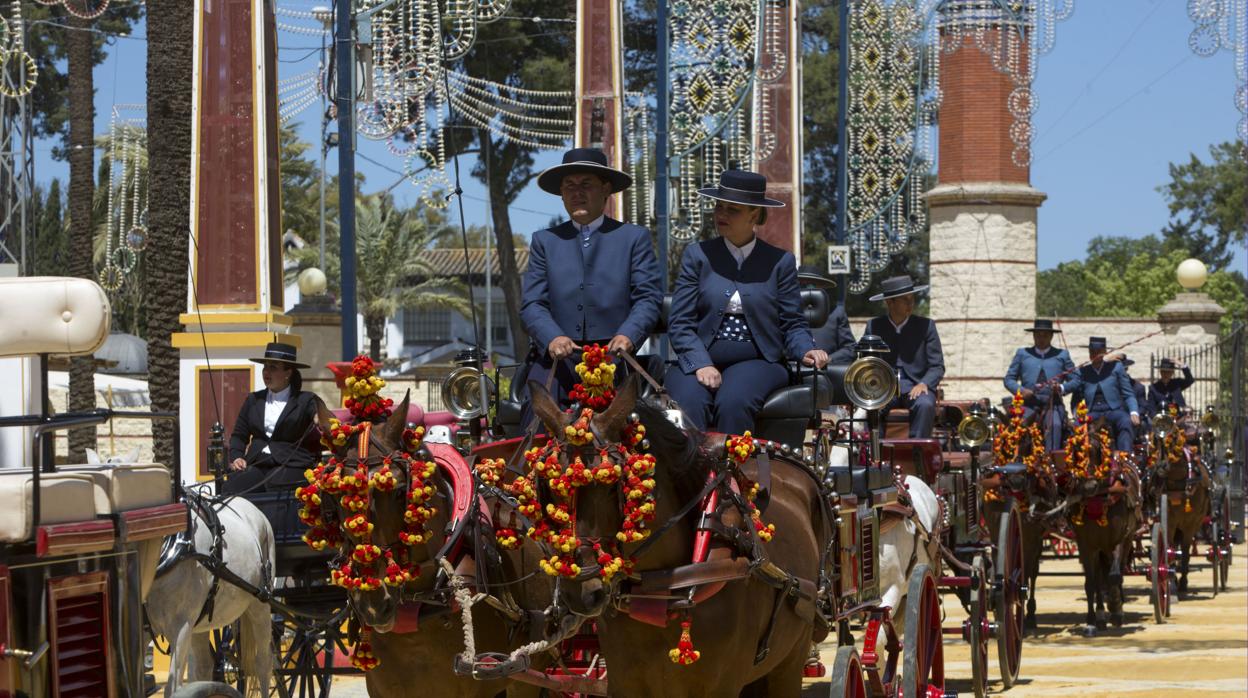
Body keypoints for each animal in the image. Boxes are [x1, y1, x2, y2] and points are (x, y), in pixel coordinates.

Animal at [146, 494, 275, 694]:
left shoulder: (180, 627)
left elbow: (172, 688)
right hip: (199, 623)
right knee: (204, 665)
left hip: (260, 604)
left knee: (263, 663)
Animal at [526, 379, 828, 694]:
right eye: (547, 487)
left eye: (611, 485)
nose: (581, 592)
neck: (663, 590)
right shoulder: (624, 684)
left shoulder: (721, 686)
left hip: (789, 663)